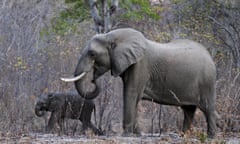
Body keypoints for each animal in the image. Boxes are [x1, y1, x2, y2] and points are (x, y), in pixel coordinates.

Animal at [61, 27, 217, 137]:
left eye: (92, 54)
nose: (93, 79)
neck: (112, 36)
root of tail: (209, 55)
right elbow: (133, 97)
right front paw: (137, 133)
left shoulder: (140, 65)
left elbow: (130, 93)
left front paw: (127, 134)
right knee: (189, 109)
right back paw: (184, 135)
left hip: (207, 81)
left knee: (207, 108)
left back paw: (211, 136)